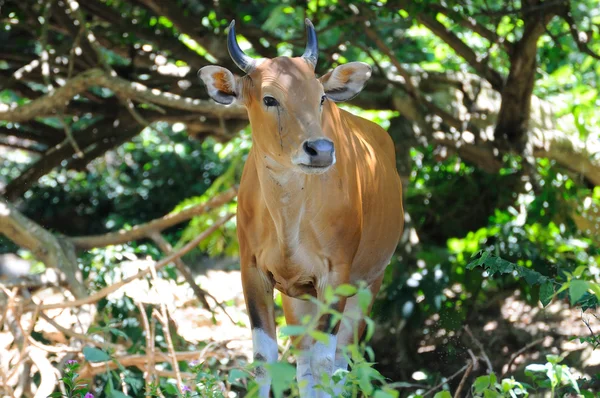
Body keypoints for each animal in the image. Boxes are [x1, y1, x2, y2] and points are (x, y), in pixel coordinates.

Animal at [198, 18, 404, 398]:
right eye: (269, 98)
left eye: (320, 96)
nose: (320, 150)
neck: (289, 219)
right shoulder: (252, 272)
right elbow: (265, 362)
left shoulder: (336, 277)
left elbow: (327, 365)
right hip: (299, 299)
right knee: (305, 366)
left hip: (369, 284)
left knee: (339, 365)